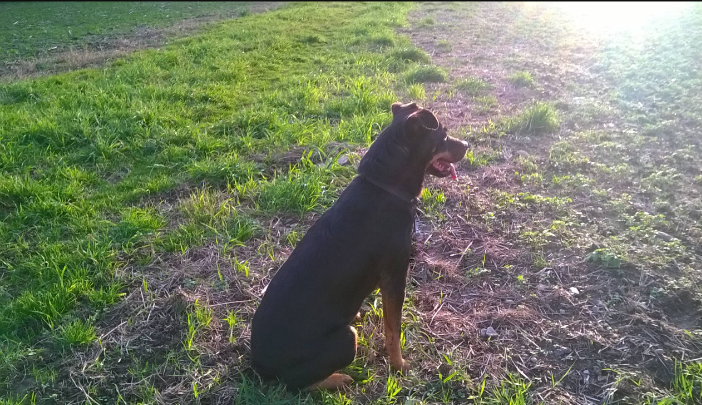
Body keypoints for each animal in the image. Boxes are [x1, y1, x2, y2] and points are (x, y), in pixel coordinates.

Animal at [250, 102, 470, 390]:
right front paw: (399, 366)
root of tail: (258, 366)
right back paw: (340, 378)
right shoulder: (395, 278)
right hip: (346, 339)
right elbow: (393, 330)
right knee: (298, 383)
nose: (467, 144)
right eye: (442, 134)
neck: (385, 186)